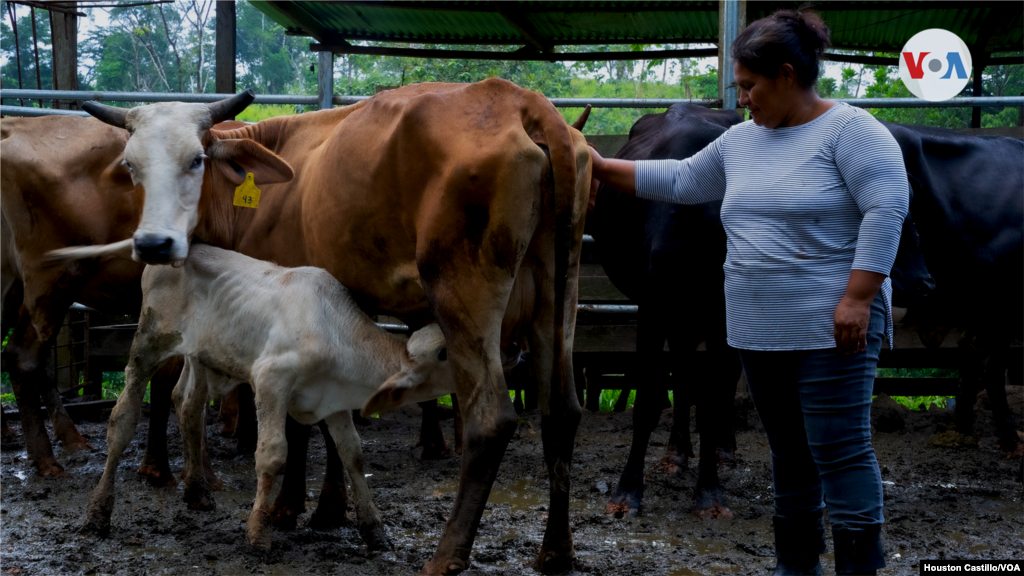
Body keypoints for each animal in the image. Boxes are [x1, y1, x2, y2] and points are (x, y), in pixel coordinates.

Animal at [81, 240, 458, 545]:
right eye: (444, 353)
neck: (336, 332)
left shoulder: (333, 399)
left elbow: (353, 453)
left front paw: (374, 529)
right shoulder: (270, 379)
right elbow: (273, 454)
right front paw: (259, 532)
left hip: (201, 355)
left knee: (188, 405)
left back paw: (197, 491)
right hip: (149, 339)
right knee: (122, 418)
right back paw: (98, 512)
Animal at [593, 104, 745, 516]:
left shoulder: (720, 320)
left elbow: (711, 398)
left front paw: (709, 490)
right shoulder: (653, 308)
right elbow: (649, 398)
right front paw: (627, 490)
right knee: (681, 373)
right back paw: (677, 451)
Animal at [880, 120, 1024, 461]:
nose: (927, 283)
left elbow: (973, 358)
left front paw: (960, 431)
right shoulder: (1004, 302)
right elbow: (992, 366)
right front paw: (1009, 439)